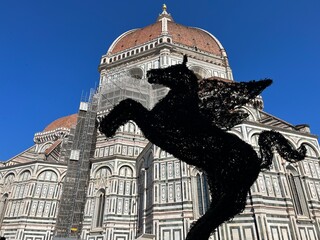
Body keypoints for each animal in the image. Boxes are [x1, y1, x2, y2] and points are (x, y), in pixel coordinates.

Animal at [99, 56, 306, 240]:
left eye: (173, 69)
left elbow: (131, 104)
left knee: (229, 208)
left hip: (234, 186)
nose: (150, 73)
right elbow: (130, 104)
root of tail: (257, 158)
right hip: (219, 181)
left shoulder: (155, 127)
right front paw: (108, 123)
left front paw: (108, 124)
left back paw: (198, 229)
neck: (179, 105)